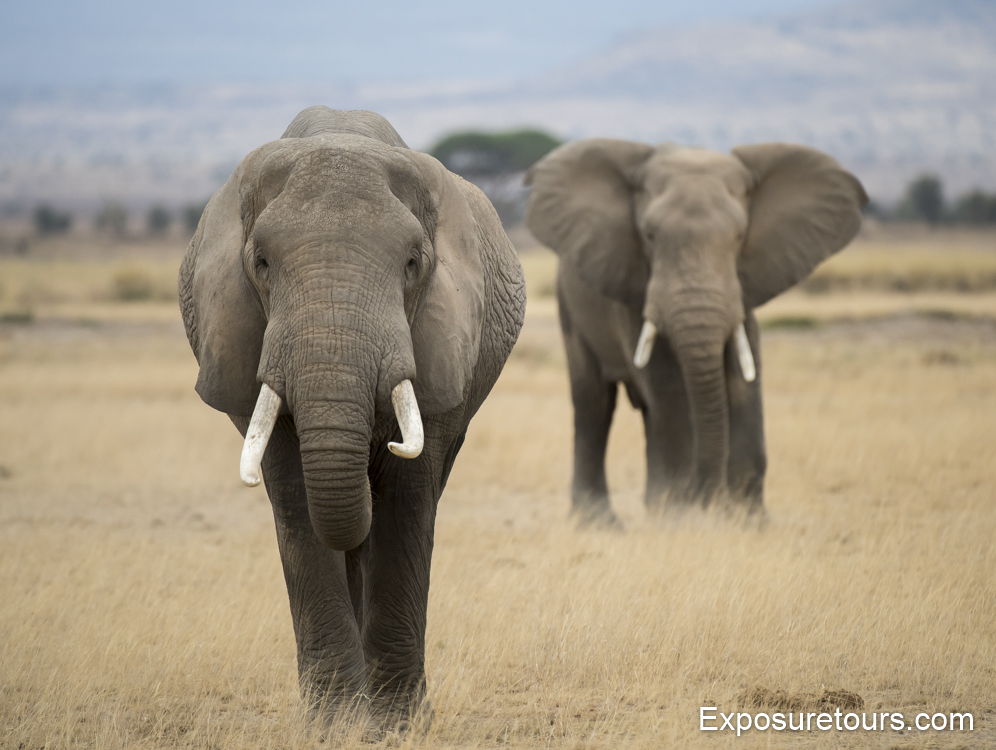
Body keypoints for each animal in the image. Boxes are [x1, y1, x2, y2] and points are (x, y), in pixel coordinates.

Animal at [177, 108, 528, 732]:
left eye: (412, 264)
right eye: (261, 264)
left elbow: (406, 502)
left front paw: (399, 725)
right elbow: (297, 500)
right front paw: (335, 724)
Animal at [528, 142, 864, 528]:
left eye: (739, 237)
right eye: (649, 236)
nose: (711, 501)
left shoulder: (742, 289)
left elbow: (744, 380)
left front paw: (750, 522)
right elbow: (668, 385)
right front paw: (684, 517)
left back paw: (655, 507)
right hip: (569, 308)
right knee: (595, 402)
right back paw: (604, 523)